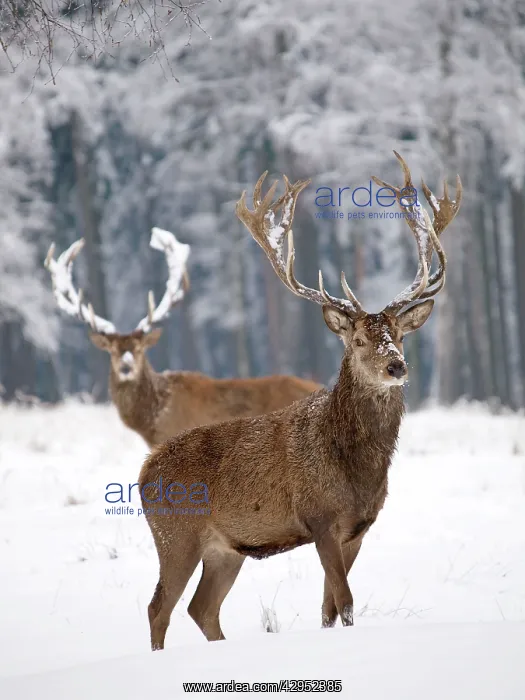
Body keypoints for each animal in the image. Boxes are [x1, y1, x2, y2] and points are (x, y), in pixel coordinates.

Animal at [138, 152, 462, 650]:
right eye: (359, 340)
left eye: (400, 335)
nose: (397, 367)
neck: (355, 468)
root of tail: (142, 472)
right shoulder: (320, 518)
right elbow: (345, 601)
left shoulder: (358, 529)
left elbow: (329, 607)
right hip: (175, 534)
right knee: (159, 607)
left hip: (226, 549)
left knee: (201, 608)